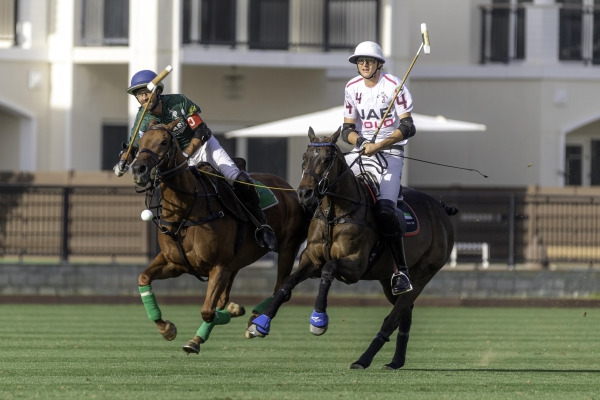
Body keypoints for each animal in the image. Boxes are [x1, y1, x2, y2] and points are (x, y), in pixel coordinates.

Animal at [130, 119, 310, 354]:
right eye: (140, 143)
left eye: (163, 142)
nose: (138, 170)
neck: (188, 210)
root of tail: (289, 188)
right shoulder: (174, 263)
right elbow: (143, 278)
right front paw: (166, 328)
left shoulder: (219, 265)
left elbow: (208, 310)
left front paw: (234, 312)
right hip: (237, 262)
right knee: (228, 296)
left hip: (288, 247)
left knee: (281, 288)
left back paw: (253, 321)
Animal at [246, 127, 458, 368]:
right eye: (304, 157)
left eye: (327, 159)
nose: (304, 193)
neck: (335, 213)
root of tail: (440, 208)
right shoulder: (311, 259)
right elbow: (288, 282)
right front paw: (260, 323)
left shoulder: (355, 265)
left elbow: (329, 269)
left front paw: (318, 320)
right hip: (387, 279)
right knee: (405, 312)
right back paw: (396, 361)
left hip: (423, 274)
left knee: (393, 316)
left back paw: (364, 359)